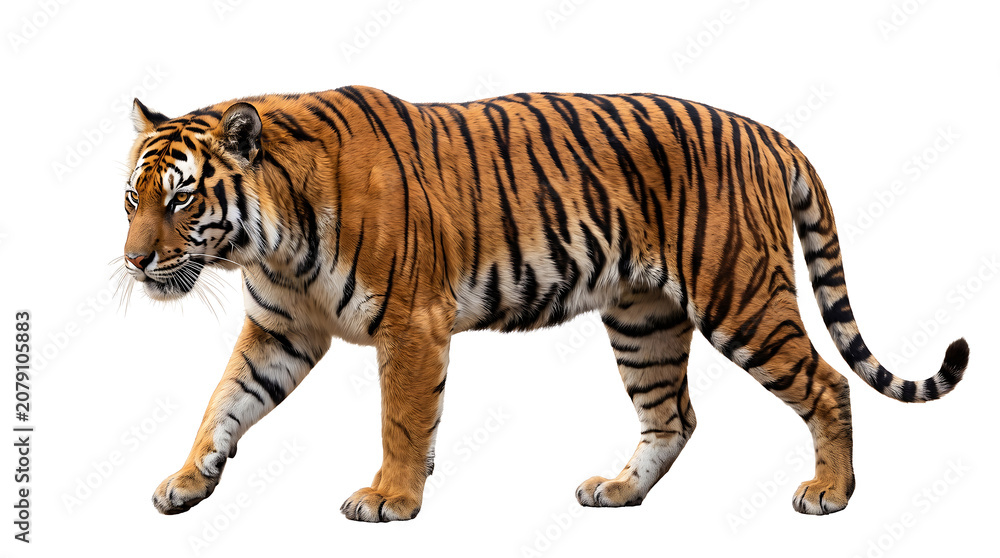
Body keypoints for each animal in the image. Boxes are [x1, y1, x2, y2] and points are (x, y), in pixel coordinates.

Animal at [121, 85, 968, 522]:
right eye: (133, 198)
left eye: (181, 198)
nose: (134, 263)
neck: (267, 241)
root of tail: (766, 132)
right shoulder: (281, 330)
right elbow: (224, 401)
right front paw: (187, 480)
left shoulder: (411, 323)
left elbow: (403, 421)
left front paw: (391, 498)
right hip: (643, 319)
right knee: (674, 416)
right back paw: (618, 491)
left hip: (741, 295)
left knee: (826, 384)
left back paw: (831, 493)